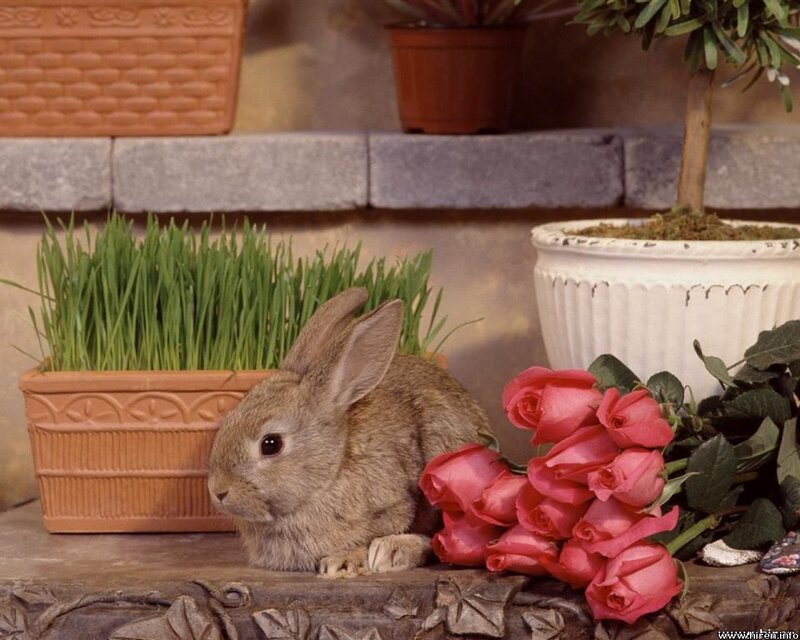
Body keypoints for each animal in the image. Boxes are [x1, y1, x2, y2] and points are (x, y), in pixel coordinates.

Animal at [207, 287, 490, 576]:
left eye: (271, 444)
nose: (218, 491)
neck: (329, 474)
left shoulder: (394, 504)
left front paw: (343, 561)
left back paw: (392, 551)